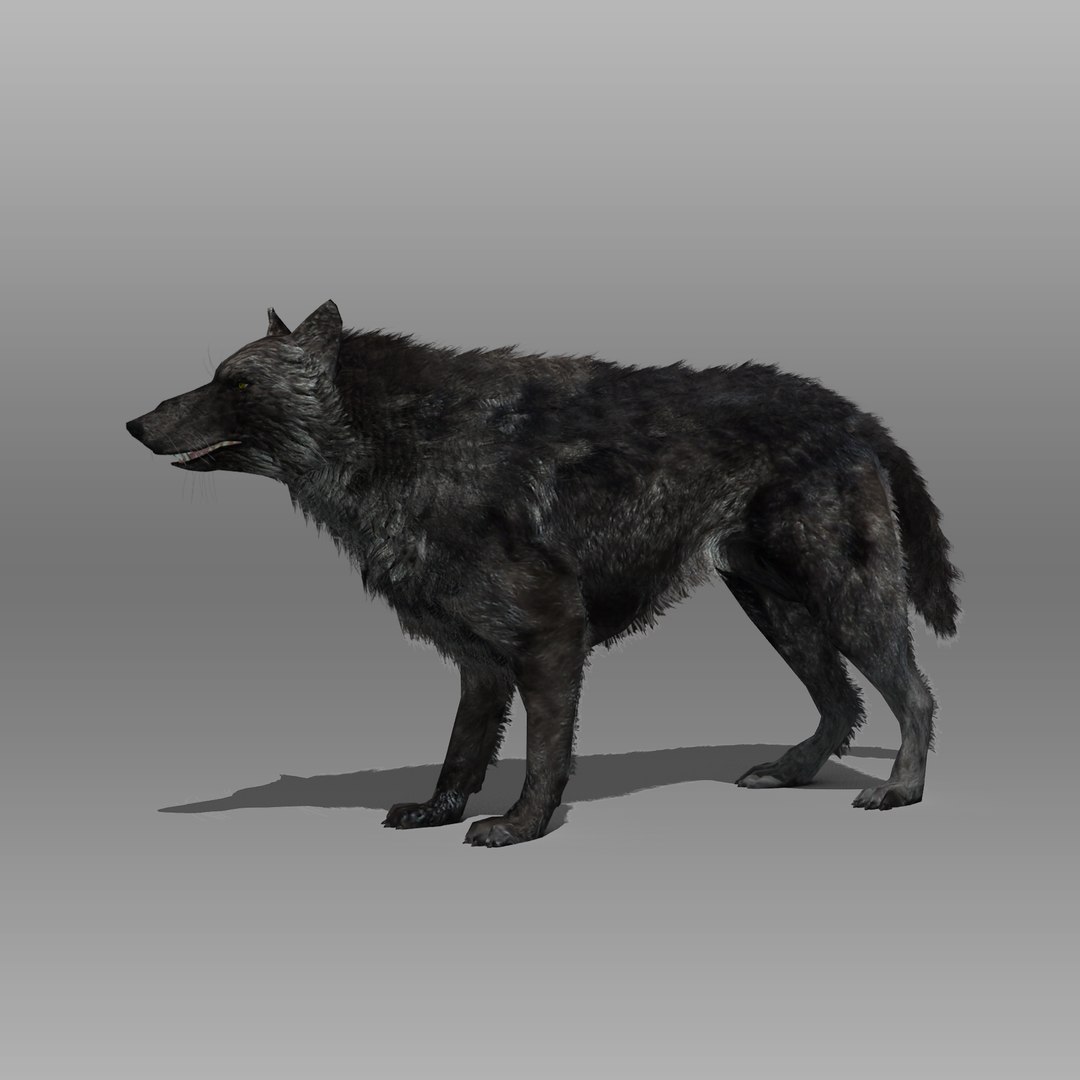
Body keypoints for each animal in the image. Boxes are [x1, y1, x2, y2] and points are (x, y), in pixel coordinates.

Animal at [127, 300, 961, 846]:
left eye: (236, 382)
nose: (134, 423)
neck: (396, 436)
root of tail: (849, 411)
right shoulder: (479, 661)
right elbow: (462, 750)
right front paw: (440, 811)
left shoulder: (552, 636)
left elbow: (543, 753)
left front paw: (524, 824)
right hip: (778, 605)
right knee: (843, 701)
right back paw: (794, 772)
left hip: (843, 597)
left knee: (914, 694)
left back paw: (903, 789)